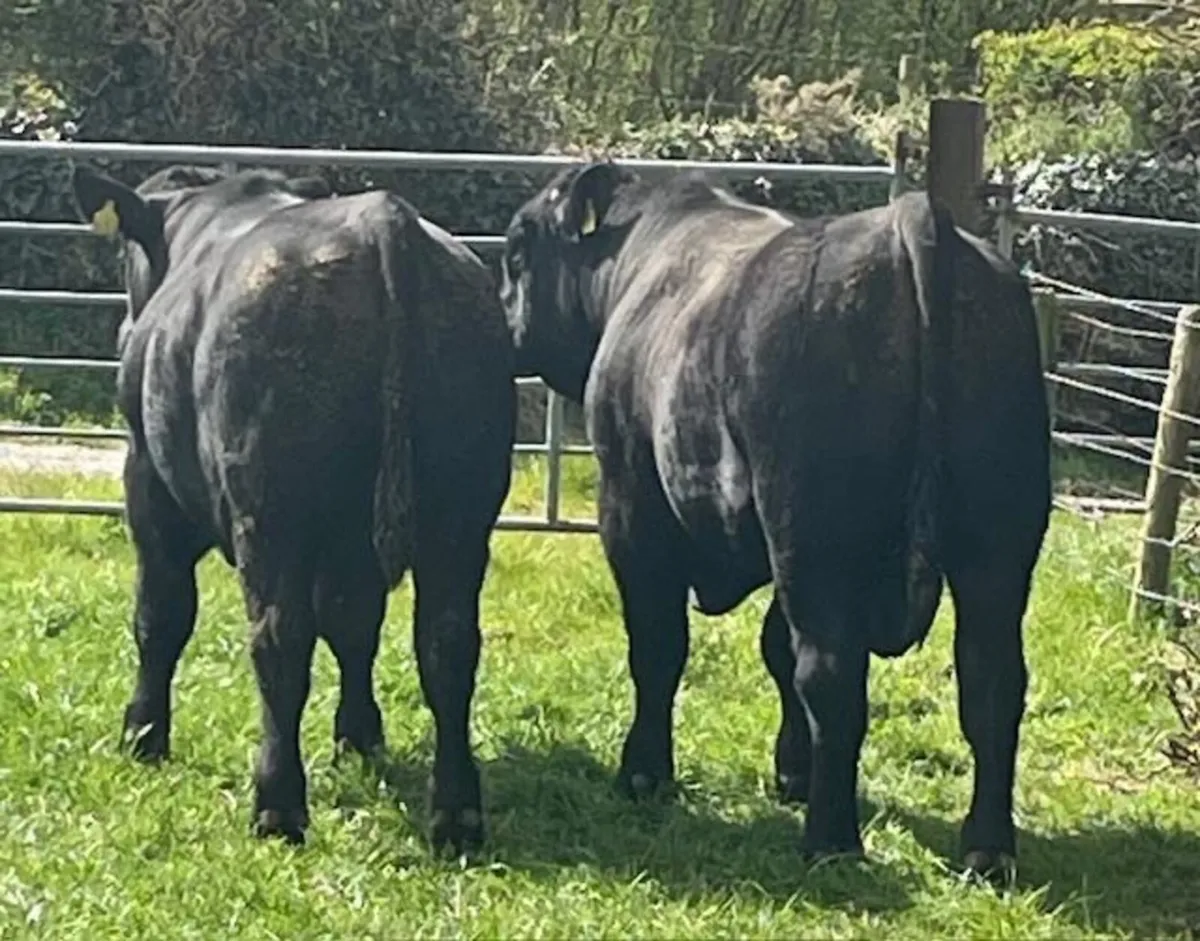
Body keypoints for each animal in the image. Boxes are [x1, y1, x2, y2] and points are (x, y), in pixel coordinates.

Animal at [69, 162, 516, 854]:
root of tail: (383, 220)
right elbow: (354, 625)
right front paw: (359, 738)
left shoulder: (148, 483)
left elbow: (160, 614)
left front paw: (143, 735)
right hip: (461, 512)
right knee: (447, 643)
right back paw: (456, 815)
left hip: (270, 512)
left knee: (279, 639)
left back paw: (277, 806)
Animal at [498, 160, 1051, 880]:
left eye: (515, 253)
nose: (503, 321)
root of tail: (908, 222)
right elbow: (774, 646)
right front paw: (794, 770)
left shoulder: (633, 509)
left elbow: (659, 646)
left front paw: (645, 774)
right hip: (995, 544)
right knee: (991, 680)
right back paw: (986, 846)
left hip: (817, 537)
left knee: (834, 674)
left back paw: (832, 838)